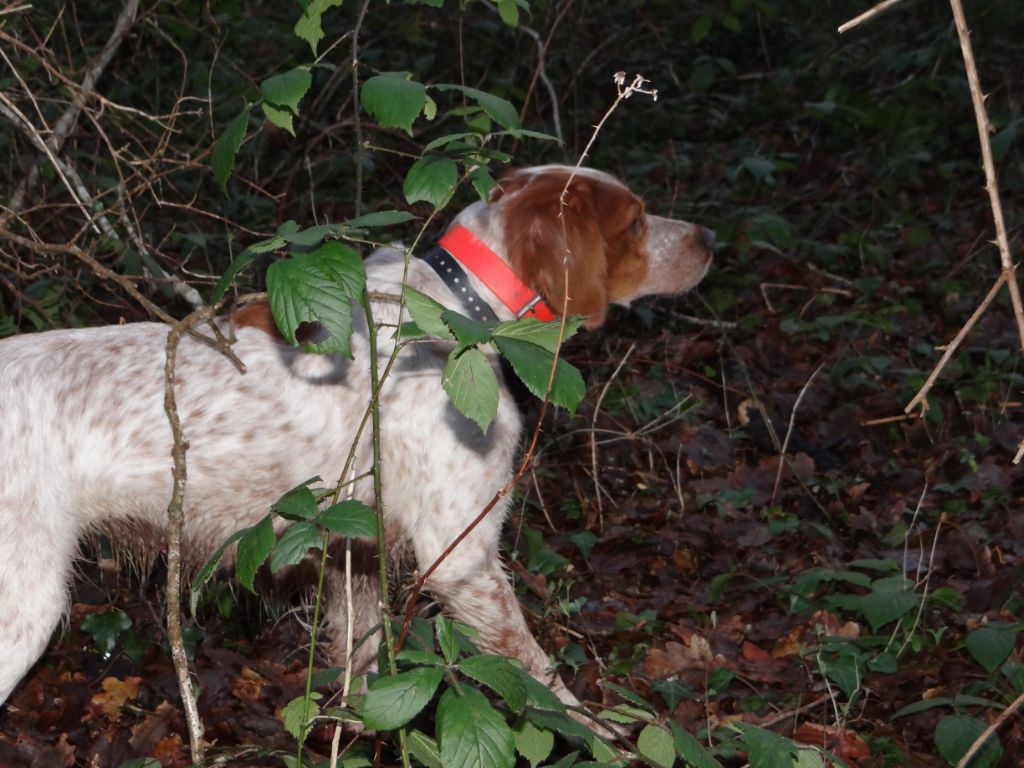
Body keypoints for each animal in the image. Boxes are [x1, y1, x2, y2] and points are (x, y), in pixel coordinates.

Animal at [0, 165, 713, 712]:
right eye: (636, 223)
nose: (708, 236)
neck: (455, 308)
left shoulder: (355, 550)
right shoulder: (462, 557)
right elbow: (543, 684)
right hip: (25, 605)